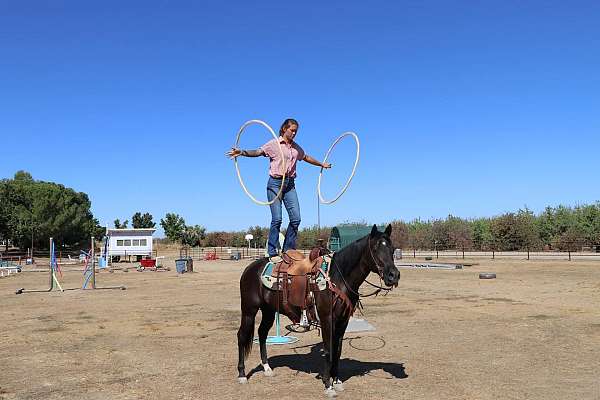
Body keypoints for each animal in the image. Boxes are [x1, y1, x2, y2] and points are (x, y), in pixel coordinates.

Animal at [237, 225, 400, 396]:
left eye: (392, 249)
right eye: (375, 248)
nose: (394, 275)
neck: (338, 277)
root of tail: (250, 268)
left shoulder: (343, 321)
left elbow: (338, 350)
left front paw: (337, 381)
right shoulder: (327, 318)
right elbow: (328, 350)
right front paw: (328, 385)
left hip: (268, 311)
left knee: (262, 333)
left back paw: (267, 368)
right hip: (249, 309)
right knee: (242, 335)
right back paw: (242, 375)